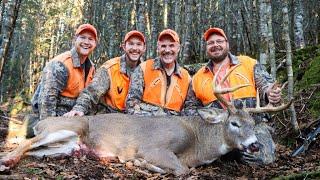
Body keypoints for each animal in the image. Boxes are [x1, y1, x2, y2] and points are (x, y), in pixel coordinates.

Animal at [0, 65, 292, 175]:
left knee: (35, 151)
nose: (255, 145)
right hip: (68, 127)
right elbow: (181, 170)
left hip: (67, 146)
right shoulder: (153, 147)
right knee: (24, 143)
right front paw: (139, 163)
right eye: (234, 123)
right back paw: (6, 162)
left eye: (253, 125)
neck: (198, 143)